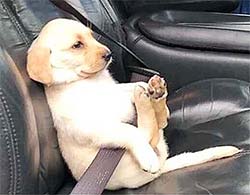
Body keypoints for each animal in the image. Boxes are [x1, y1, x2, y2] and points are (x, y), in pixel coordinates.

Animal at [26, 18, 241, 189]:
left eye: (92, 37)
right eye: (77, 45)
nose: (109, 54)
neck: (87, 81)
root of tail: (163, 167)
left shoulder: (116, 91)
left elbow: (131, 86)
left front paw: (149, 89)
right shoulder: (96, 127)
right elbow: (131, 132)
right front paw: (147, 155)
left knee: (158, 124)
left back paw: (156, 97)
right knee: (148, 133)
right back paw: (146, 106)